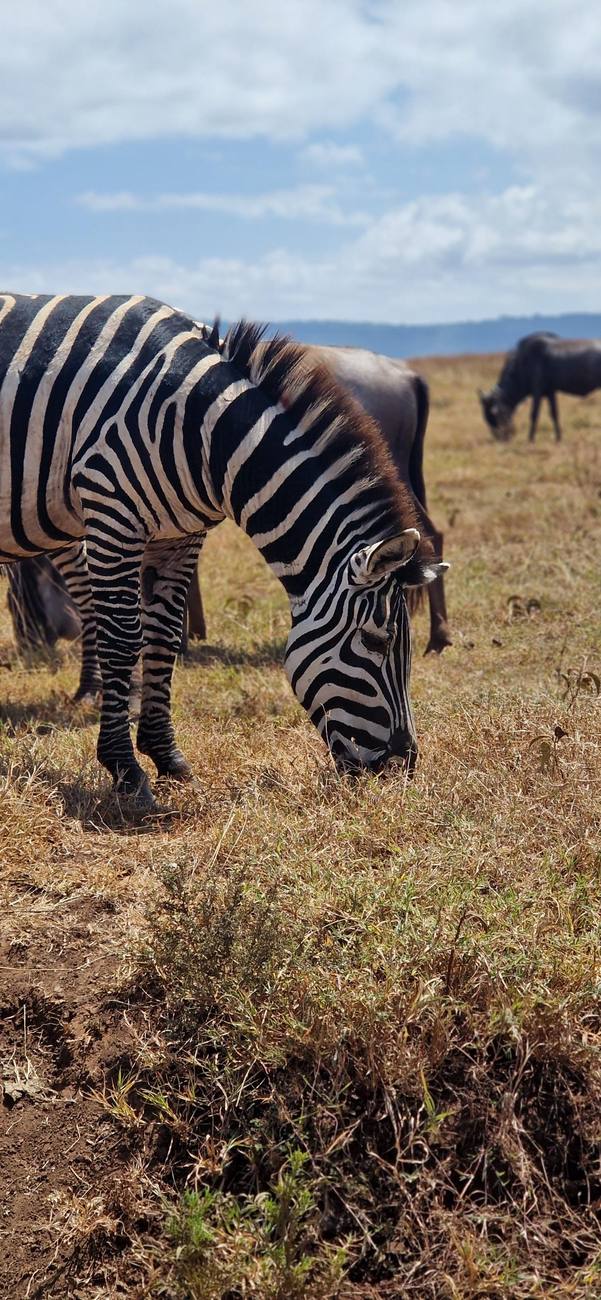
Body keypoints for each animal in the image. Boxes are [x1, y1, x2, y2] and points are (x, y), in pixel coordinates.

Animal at [0, 293, 447, 812]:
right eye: (377, 642)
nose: (403, 768)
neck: (198, 426)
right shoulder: (112, 514)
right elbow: (123, 638)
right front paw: (126, 770)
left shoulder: (181, 535)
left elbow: (163, 636)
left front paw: (168, 758)